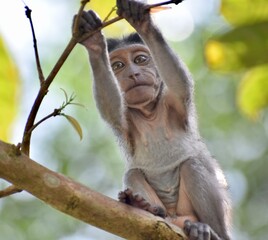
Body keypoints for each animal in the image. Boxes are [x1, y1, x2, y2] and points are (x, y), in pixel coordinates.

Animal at [74, 0, 232, 239]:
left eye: (140, 60)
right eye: (118, 66)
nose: (133, 74)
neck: (149, 112)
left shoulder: (173, 102)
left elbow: (179, 84)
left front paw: (142, 21)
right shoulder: (126, 119)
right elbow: (112, 110)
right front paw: (93, 41)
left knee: (192, 165)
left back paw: (209, 231)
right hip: (168, 215)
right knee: (133, 173)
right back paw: (142, 205)